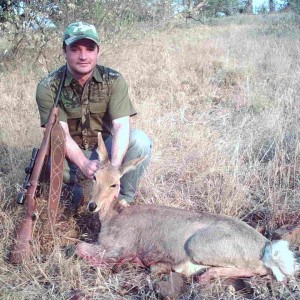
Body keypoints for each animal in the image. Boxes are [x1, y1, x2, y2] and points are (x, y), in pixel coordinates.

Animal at [77, 133, 298, 284]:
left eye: (114, 184)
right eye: (95, 177)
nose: (92, 205)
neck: (113, 217)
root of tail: (265, 245)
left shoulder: (119, 248)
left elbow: (78, 247)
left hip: (198, 245)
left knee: (262, 269)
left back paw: (205, 274)